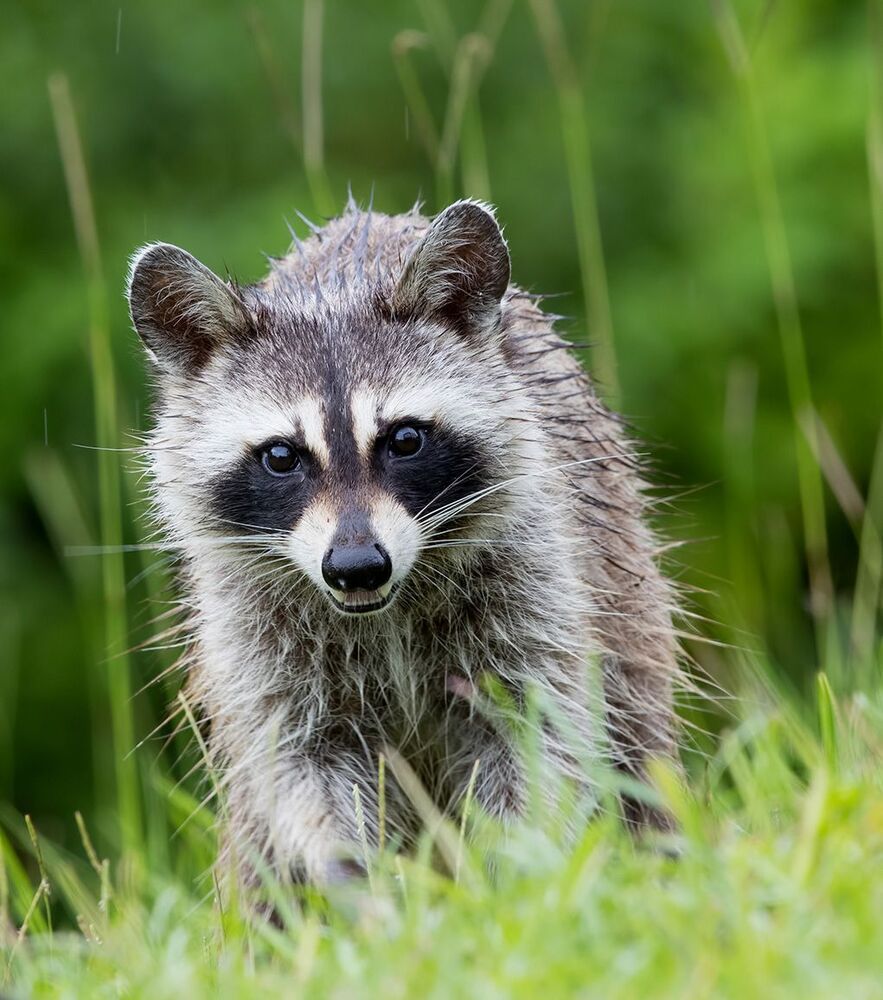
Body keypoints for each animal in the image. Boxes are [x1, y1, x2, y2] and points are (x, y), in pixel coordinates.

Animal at [127, 199, 680, 887]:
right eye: (281, 456)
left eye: (405, 439)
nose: (356, 566)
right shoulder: (256, 634)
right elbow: (301, 761)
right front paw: (354, 884)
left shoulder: (535, 572)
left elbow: (537, 729)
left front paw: (519, 874)